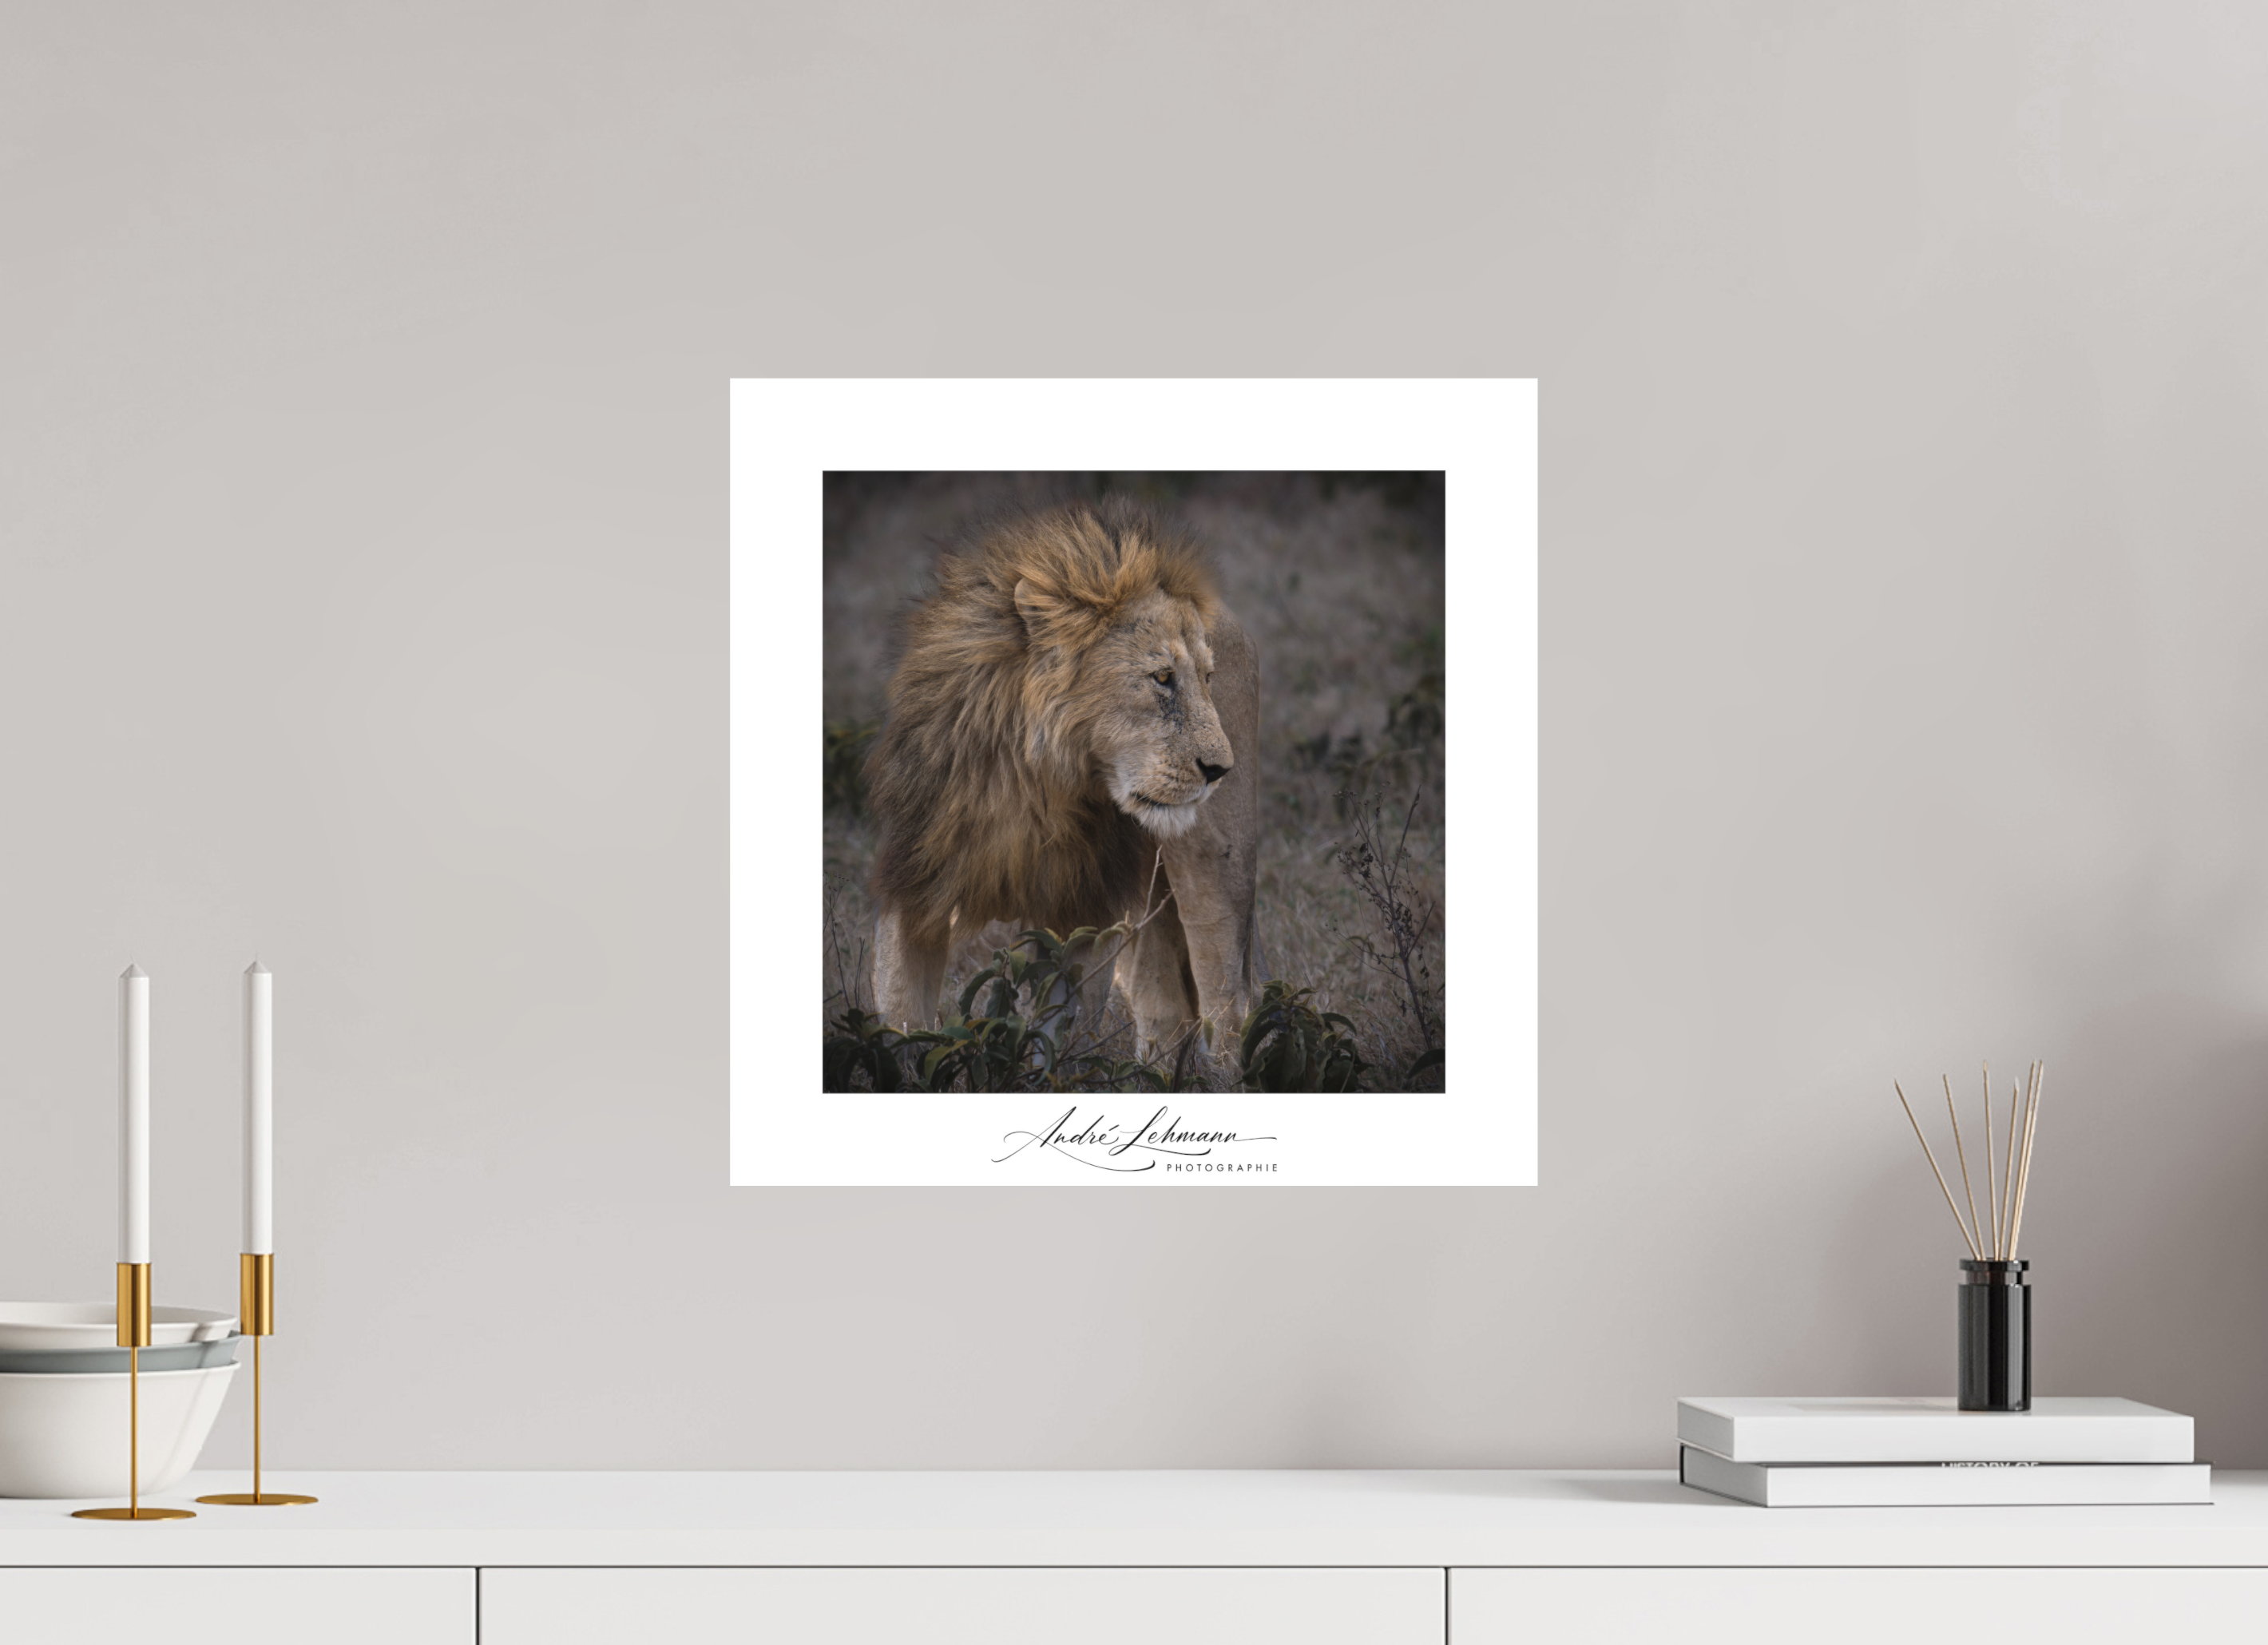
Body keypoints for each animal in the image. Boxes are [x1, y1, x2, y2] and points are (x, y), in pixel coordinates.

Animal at [866, 498, 1260, 1061]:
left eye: (1208, 680)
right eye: (1162, 678)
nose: (1220, 770)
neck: (1030, 785)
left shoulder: (1082, 906)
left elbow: (1053, 1032)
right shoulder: (916, 879)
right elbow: (901, 1019)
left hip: (1216, 863)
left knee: (1224, 999)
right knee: (1164, 1005)